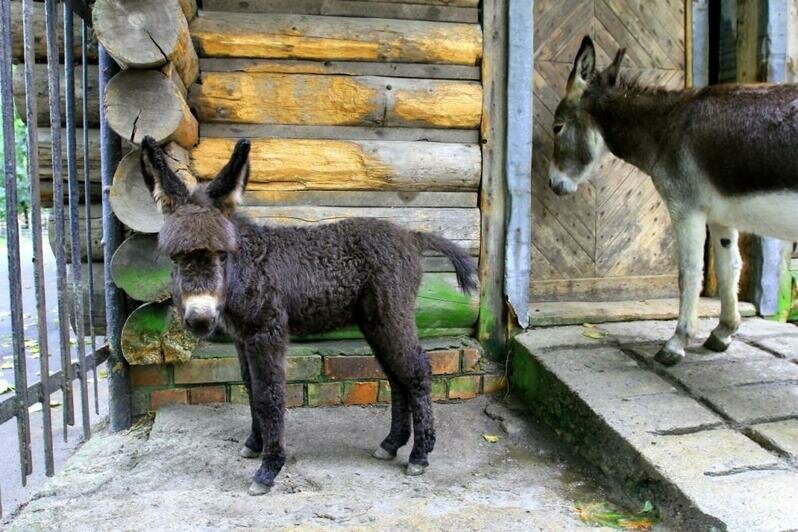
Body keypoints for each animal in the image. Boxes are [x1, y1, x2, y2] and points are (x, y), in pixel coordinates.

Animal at [140, 136, 478, 494]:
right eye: (175, 258)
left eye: (221, 255)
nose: (200, 319)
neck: (248, 266)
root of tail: (411, 237)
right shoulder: (243, 337)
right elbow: (250, 386)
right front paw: (255, 443)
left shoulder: (268, 332)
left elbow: (269, 394)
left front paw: (268, 469)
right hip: (375, 322)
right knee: (396, 375)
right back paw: (391, 444)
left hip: (392, 315)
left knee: (416, 371)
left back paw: (419, 455)